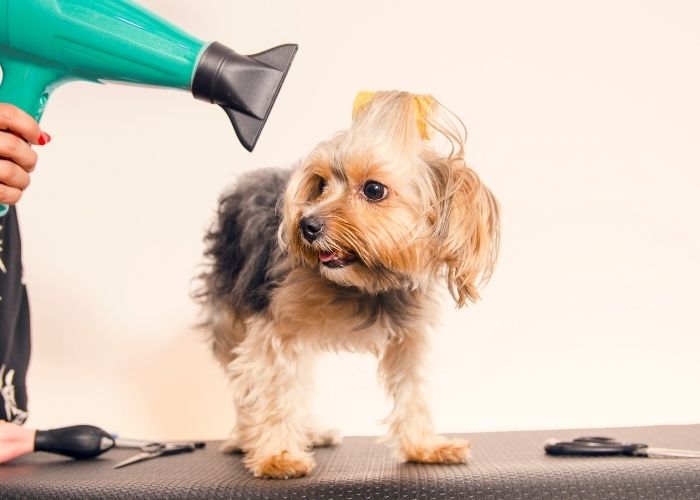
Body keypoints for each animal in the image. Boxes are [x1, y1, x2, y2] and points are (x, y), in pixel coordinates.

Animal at [200, 92, 500, 478]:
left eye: (373, 189)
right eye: (321, 185)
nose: (307, 225)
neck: (366, 283)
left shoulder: (410, 334)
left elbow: (412, 389)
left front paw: (424, 446)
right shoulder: (275, 325)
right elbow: (273, 387)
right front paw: (276, 455)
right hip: (230, 309)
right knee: (244, 380)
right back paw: (245, 436)